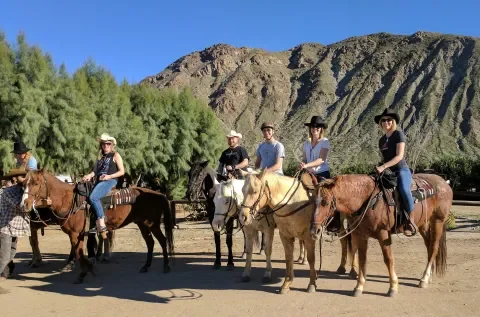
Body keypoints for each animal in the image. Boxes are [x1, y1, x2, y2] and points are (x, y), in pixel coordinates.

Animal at [21, 169, 174, 282]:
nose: (24, 204)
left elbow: (79, 252)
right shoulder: (77, 234)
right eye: (24, 184)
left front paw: (83, 274)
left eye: (36, 183)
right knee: (150, 243)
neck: (69, 200)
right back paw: (146, 266)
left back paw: (166, 266)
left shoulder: (76, 234)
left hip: (152, 224)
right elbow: (79, 251)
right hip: (142, 224)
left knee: (162, 240)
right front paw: (88, 268)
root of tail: (159, 194)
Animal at [310, 172, 452, 296]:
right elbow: (362, 259)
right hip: (423, 224)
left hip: (438, 221)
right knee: (429, 246)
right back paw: (428, 276)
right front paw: (359, 286)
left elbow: (388, 259)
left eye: (325, 202)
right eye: (312, 200)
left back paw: (423, 279)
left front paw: (393, 287)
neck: (367, 200)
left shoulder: (383, 234)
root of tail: (443, 182)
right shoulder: (361, 235)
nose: (314, 231)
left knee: (434, 247)